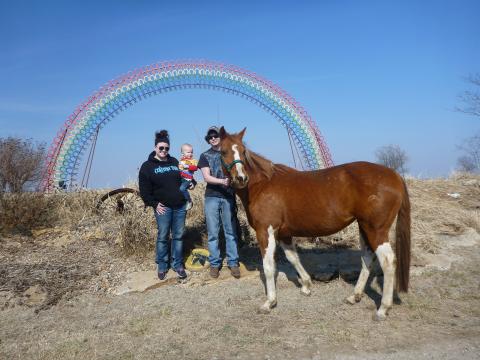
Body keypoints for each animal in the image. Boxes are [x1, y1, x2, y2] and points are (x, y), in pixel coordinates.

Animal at [219, 126, 410, 320]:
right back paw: (354, 296)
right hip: (364, 227)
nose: (241, 178)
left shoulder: (266, 231)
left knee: (387, 261)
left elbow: (269, 266)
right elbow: (293, 257)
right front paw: (306, 285)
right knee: (367, 258)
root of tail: (394, 175)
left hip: (376, 230)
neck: (262, 185)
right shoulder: (284, 233)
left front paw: (269, 302)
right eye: (223, 151)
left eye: (243, 151)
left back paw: (383, 309)